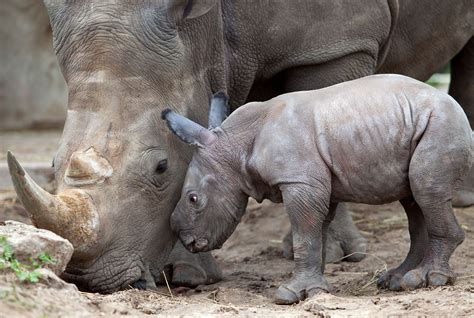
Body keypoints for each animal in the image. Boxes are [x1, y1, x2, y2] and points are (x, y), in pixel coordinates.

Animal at [162, 74, 470, 306]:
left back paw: (430, 279)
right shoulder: (317, 184)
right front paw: (315, 290)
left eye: (193, 199)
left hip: (440, 124)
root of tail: (457, 110)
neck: (234, 145)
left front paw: (289, 294)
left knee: (426, 191)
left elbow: (304, 235)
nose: (187, 240)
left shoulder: (299, 181)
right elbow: (316, 234)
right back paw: (398, 281)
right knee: (414, 201)